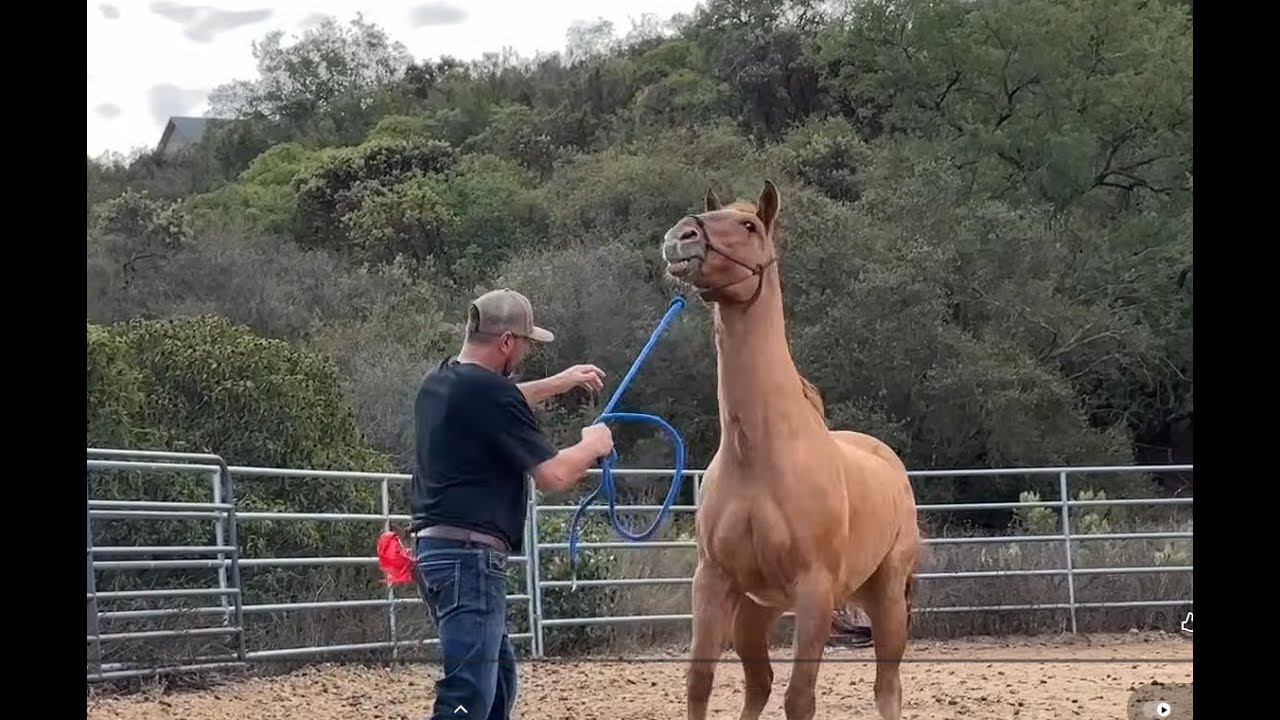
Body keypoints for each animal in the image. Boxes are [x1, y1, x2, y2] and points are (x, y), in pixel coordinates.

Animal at [659, 180, 921, 720]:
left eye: (748, 225)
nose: (680, 238)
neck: (758, 456)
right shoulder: (713, 581)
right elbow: (699, 682)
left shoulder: (814, 591)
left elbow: (799, 697)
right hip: (757, 613)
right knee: (757, 684)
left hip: (885, 599)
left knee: (887, 688)